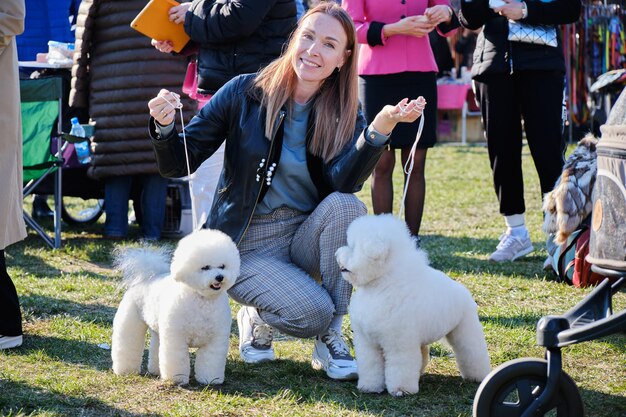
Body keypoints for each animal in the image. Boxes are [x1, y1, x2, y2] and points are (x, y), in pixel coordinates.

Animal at [112, 229, 239, 386]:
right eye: (205, 267)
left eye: (222, 266)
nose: (220, 277)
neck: (202, 299)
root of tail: (148, 277)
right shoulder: (176, 338)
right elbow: (176, 359)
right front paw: (176, 379)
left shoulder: (215, 341)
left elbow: (210, 362)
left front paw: (210, 380)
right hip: (131, 321)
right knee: (127, 344)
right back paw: (125, 370)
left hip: (158, 329)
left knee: (156, 347)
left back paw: (156, 371)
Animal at [334, 214, 490, 396]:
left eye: (352, 247)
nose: (337, 254)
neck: (382, 285)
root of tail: (464, 292)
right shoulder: (367, 342)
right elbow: (371, 365)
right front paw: (369, 387)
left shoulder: (399, 343)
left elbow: (400, 367)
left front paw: (401, 390)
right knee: (423, 353)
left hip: (464, 329)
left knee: (472, 353)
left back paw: (479, 376)